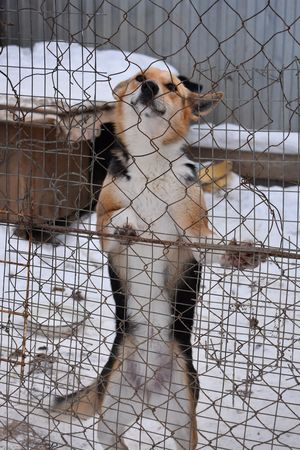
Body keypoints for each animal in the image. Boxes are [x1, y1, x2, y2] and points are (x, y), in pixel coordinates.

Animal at [54, 67, 262, 450]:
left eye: (171, 87)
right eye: (140, 78)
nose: (150, 88)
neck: (151, 161)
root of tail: (147, 394)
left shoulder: (193, 238)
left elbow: (212, 245)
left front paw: (240, 251)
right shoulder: (104, 229)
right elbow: (115, 219)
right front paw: (130, 222)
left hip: (183, 420)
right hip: (110, 417)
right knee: (114, 439)